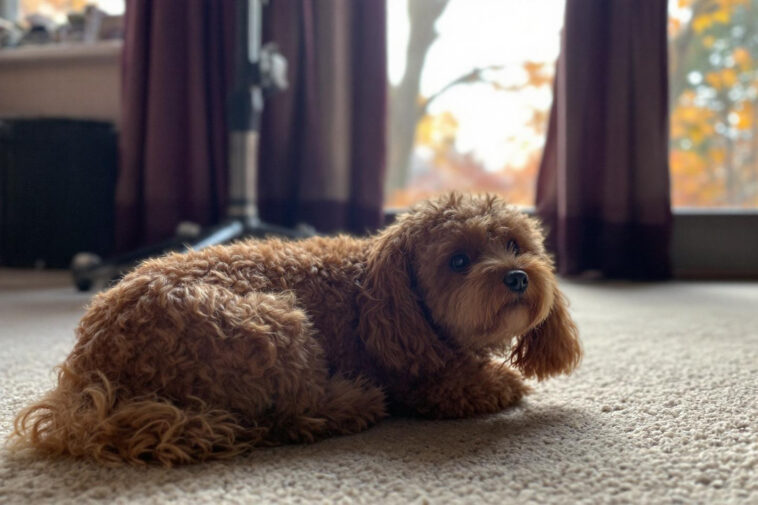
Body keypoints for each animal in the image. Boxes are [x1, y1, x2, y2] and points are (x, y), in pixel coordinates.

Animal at [12, 193, 581, 466]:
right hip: (272, 324)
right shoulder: (425, 381)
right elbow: (485, 383)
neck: (377, 290)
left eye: (514, 244)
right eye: (458, 261)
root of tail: (89, 375)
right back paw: (352, 402)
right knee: (290, 416)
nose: (517, 276)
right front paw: (500, 380)